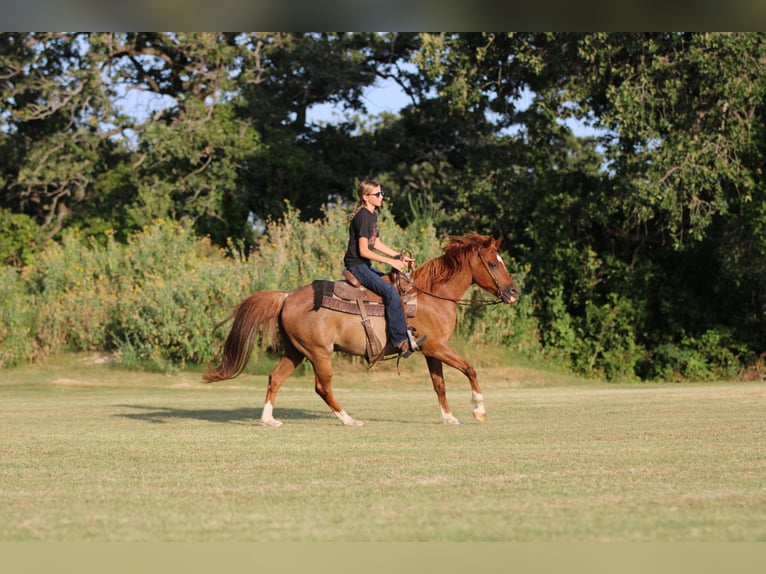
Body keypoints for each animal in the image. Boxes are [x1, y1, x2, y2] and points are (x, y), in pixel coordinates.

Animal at [203, 232, 520, 426]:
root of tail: (287, 296)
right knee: (322, 386)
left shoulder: (431, 351)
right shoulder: (437, 347)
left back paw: (268, 419)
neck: (432, 295)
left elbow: (439, 385)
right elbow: (469, 369)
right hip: (319, 353)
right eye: (493, 263)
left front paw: (449, 418)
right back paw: (348, 419)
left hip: (296, 351)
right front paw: (479, 409)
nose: (514, 292)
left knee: (275, 378)